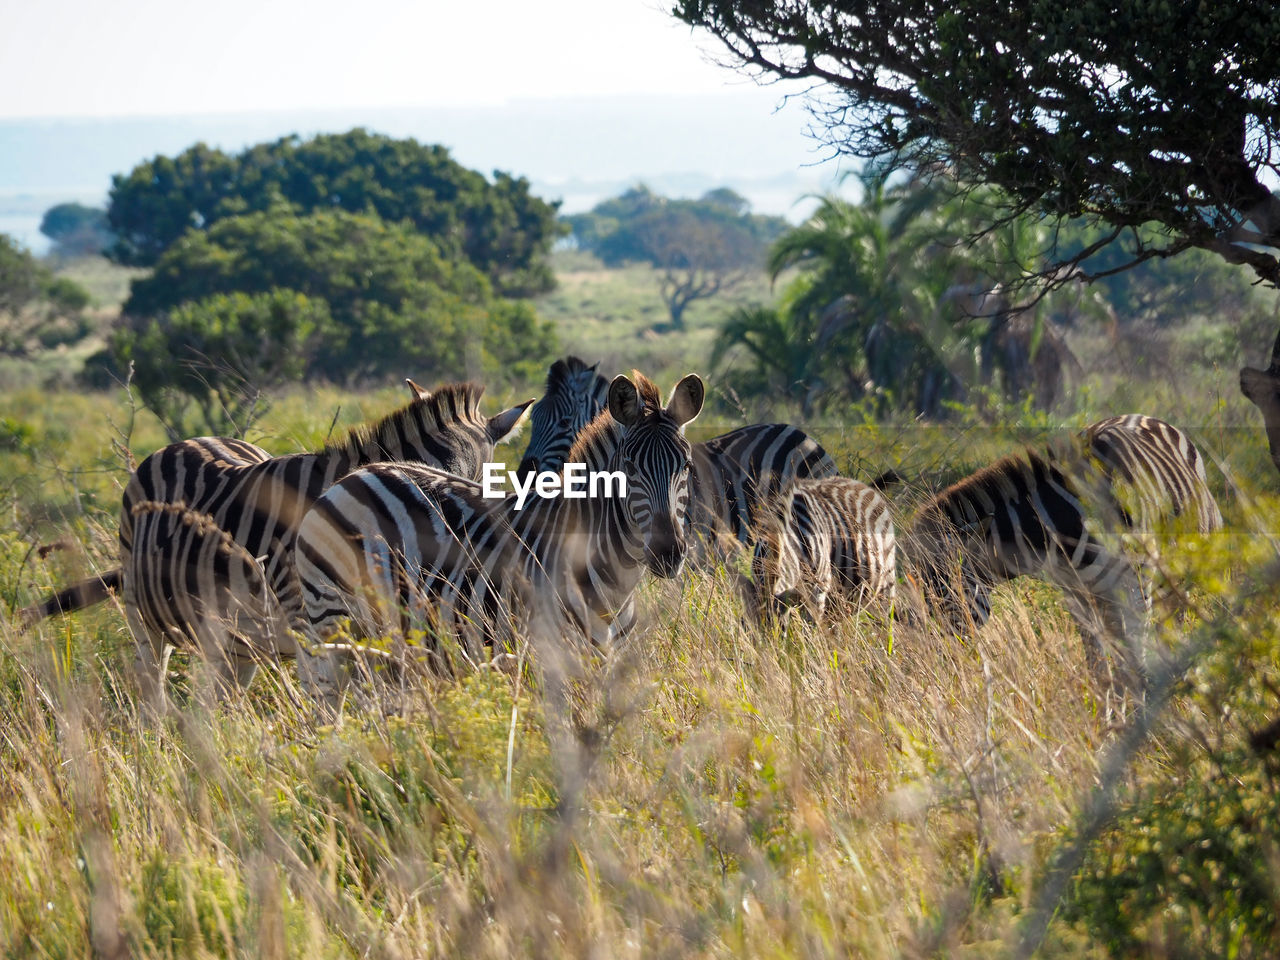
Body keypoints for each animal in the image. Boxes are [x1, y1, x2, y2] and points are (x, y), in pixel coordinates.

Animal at [293, 371, 706, 696]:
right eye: (629, 469)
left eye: (686, 466)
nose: (668, 552)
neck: (616, 583)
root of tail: (354, 475)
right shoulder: (549, 657)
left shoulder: (605, 659)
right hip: (332, 623)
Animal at [901, 414, 1218, 686]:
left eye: (948, 591)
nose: (943, 664)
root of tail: (1146, 417)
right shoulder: (1078, 596)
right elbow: (1099, 668)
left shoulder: (1136, 591)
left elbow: (1136, 665)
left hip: (1177, 576)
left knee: (1170, 630)